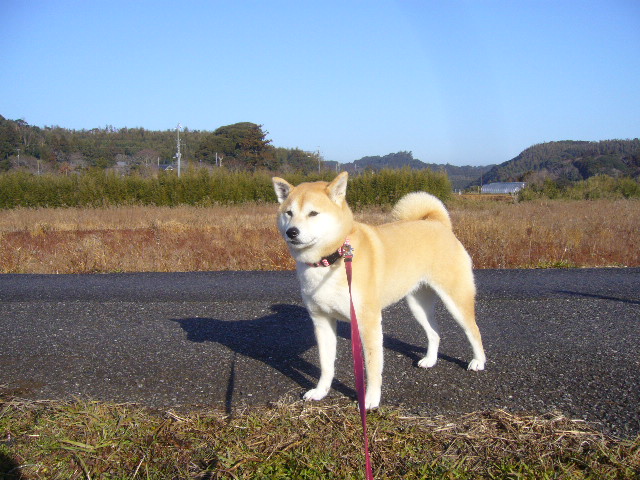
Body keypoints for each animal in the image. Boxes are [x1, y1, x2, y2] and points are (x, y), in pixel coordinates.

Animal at [270, 172, 484, 408]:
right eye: (289, 213)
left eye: (313, 213)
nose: (292, 232)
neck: (332, 259)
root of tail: (439, 224)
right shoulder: (321, 321)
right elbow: (326, 365)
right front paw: (320, 391)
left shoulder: (368, 321)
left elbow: (372, 368)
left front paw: (370, 399)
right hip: (417, 304)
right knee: (434, 332)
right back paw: (430, 359)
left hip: (456, 300)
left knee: (473, 330)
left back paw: (478, 361)